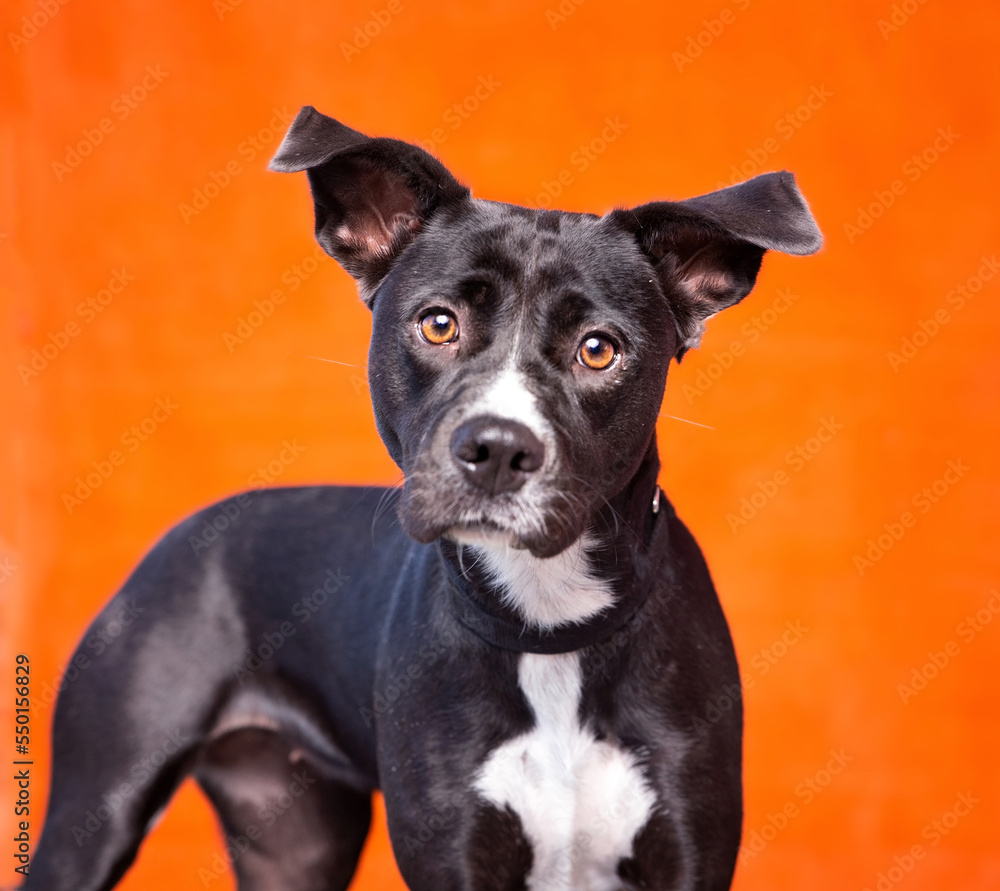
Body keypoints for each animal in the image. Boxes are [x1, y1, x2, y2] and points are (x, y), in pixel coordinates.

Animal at [25, 106, 820, 891]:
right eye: (439, 323)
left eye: (600, 349)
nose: (498, 449)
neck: (548, 619)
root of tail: (188, 528)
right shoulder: (452, 854)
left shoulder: (689, 848)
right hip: (97, 809)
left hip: (294, 842)